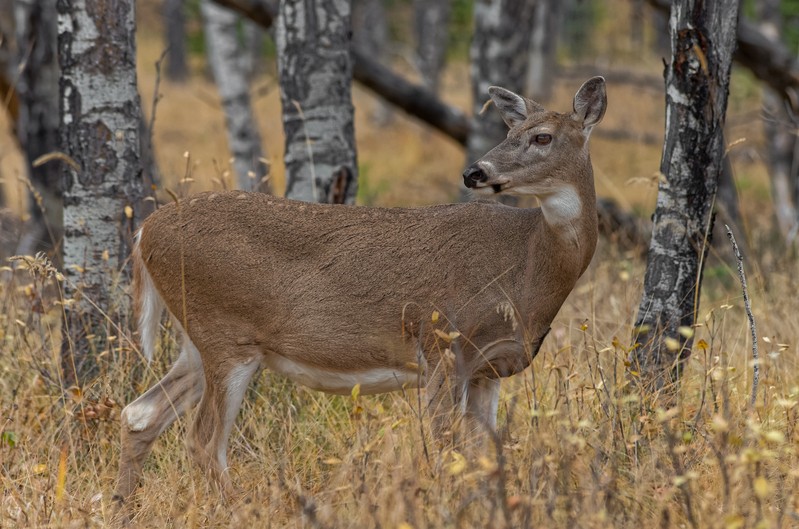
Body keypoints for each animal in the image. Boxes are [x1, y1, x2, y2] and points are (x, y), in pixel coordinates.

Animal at [114, 76, 608, 506]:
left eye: (542, 136)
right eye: (511, 130)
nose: (475, 172)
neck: (526, 266)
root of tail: (145, 231)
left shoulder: (489, 367)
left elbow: (485, 454)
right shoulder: (442, 343)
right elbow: (446, 445)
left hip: (197, 339)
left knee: (139, 414)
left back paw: (125, 506)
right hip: (225, 335)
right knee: (203, 441)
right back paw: (241, 507)